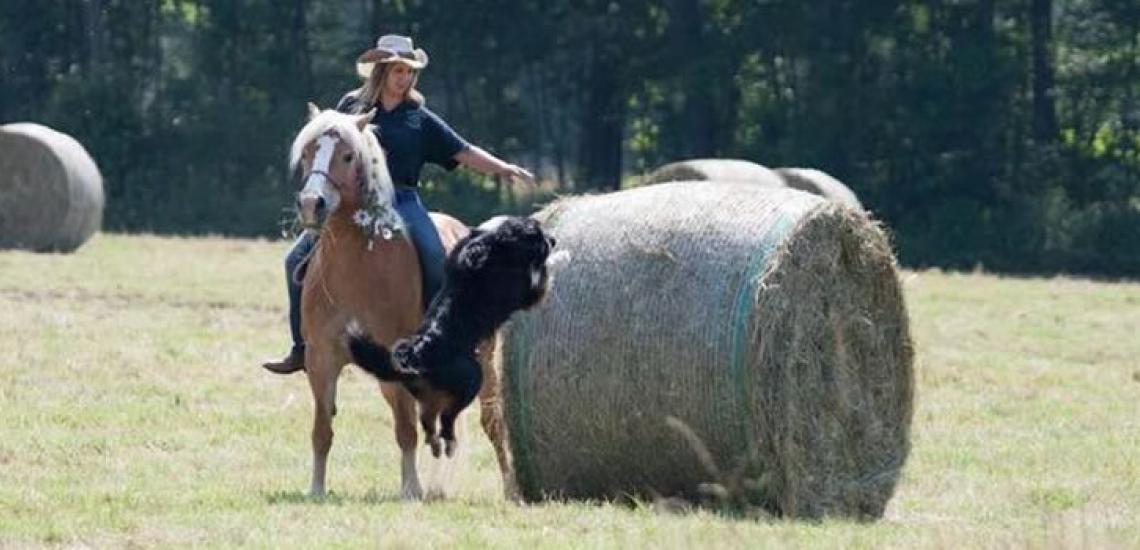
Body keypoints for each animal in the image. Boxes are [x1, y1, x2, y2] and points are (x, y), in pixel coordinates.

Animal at [289, 104, 517, 502]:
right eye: (307, 152)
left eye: (348, 156)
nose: (311, 204)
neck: (355, 265)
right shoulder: (321, 359)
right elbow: (321, 431)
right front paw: (316, 489)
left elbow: (405, 430)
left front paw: (411, 489)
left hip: (484, 359)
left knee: (491, 422)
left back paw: (510, 489)